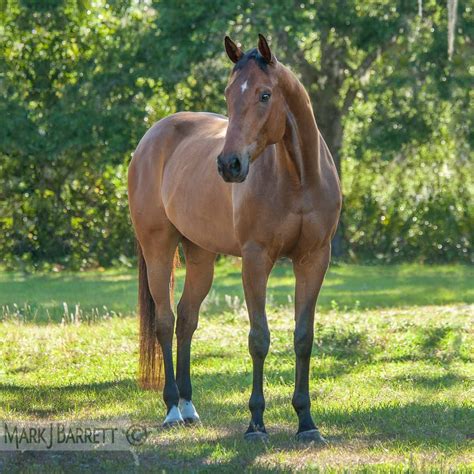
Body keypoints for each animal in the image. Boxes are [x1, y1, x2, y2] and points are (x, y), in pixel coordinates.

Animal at [126, 35, 340, 442]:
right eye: (228, 94)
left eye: (264, 95)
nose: (229, 165)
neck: (298, 177)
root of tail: (151, 136)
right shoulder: (256, 260)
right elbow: (259, 338)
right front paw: (256, 423)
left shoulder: (314, 260)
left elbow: (303, 338)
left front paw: (306, 422)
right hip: (158, 248)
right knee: (165, 321)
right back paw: (172, 408)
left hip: (200, 256)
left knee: (186, 319)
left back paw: (189, 407)